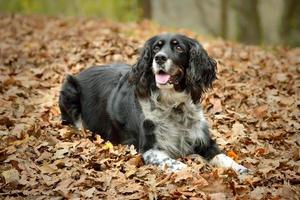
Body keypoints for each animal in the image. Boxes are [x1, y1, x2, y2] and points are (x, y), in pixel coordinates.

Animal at [58, 33, 248, 173]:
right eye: (156, 47)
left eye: (178, 47)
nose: (160, 58)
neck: (173, 105)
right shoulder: (149, 149)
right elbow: (177, 164)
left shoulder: (203, 140)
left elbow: (223, 156)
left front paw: (241, 170)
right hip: (69, 90)